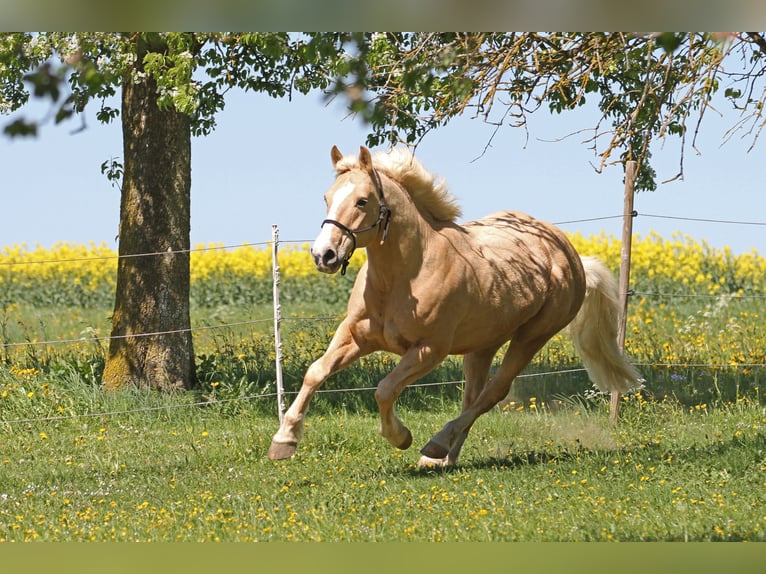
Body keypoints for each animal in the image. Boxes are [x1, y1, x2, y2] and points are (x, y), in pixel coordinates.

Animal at [268, 145, 641, 467]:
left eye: (362, 201)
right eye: (327, 198)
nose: (324, 255)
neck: (403, 278)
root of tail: (571, 255)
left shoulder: (429, 350)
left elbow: (385, 390)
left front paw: (401, 437)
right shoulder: (355, 336)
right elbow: (316, 372)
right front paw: (284, 441)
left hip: (531, 337)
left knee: (493, 392)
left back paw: (436, 445)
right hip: (482, 345)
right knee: (474, 396)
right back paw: (443, 457)